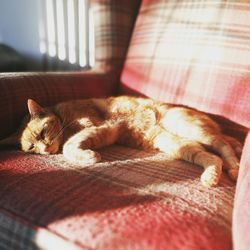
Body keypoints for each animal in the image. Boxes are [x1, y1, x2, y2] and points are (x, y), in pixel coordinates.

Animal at [0, 95, 242, 188]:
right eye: (32, 148)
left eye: (42, 133)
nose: (44, 149)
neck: (63, 115)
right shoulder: (103, 132)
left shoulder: (97, 125)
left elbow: (69, 145)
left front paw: (87, 156)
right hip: (177, 145)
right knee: (212, 157)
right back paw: (211, 176)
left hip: (189, 128)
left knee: (224, 145)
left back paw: (235, 168)